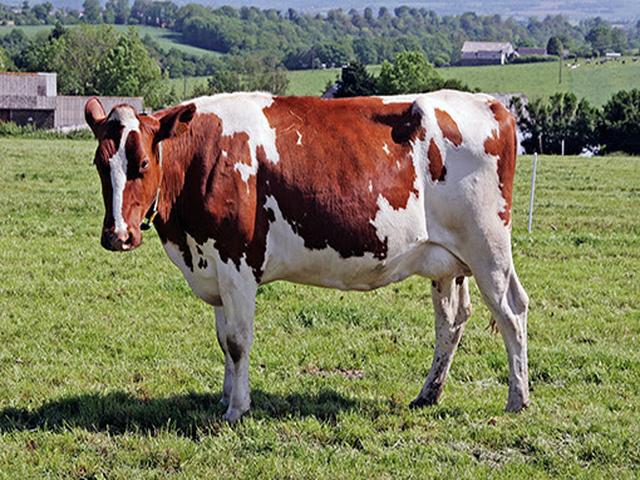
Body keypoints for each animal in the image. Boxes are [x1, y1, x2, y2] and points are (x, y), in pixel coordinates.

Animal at [85, 90, 529, 422]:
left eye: (142, 162)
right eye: (99, 163)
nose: (117, 236)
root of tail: (491, 104)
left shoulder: (236, 263)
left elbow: (238, 340)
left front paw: (237, 408)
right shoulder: (214, 266)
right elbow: (223, 340)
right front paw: (225, 396)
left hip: (488, 246)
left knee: (512, 310)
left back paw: (518, 398)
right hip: (447, 261)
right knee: (451, 321)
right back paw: (428, 394)